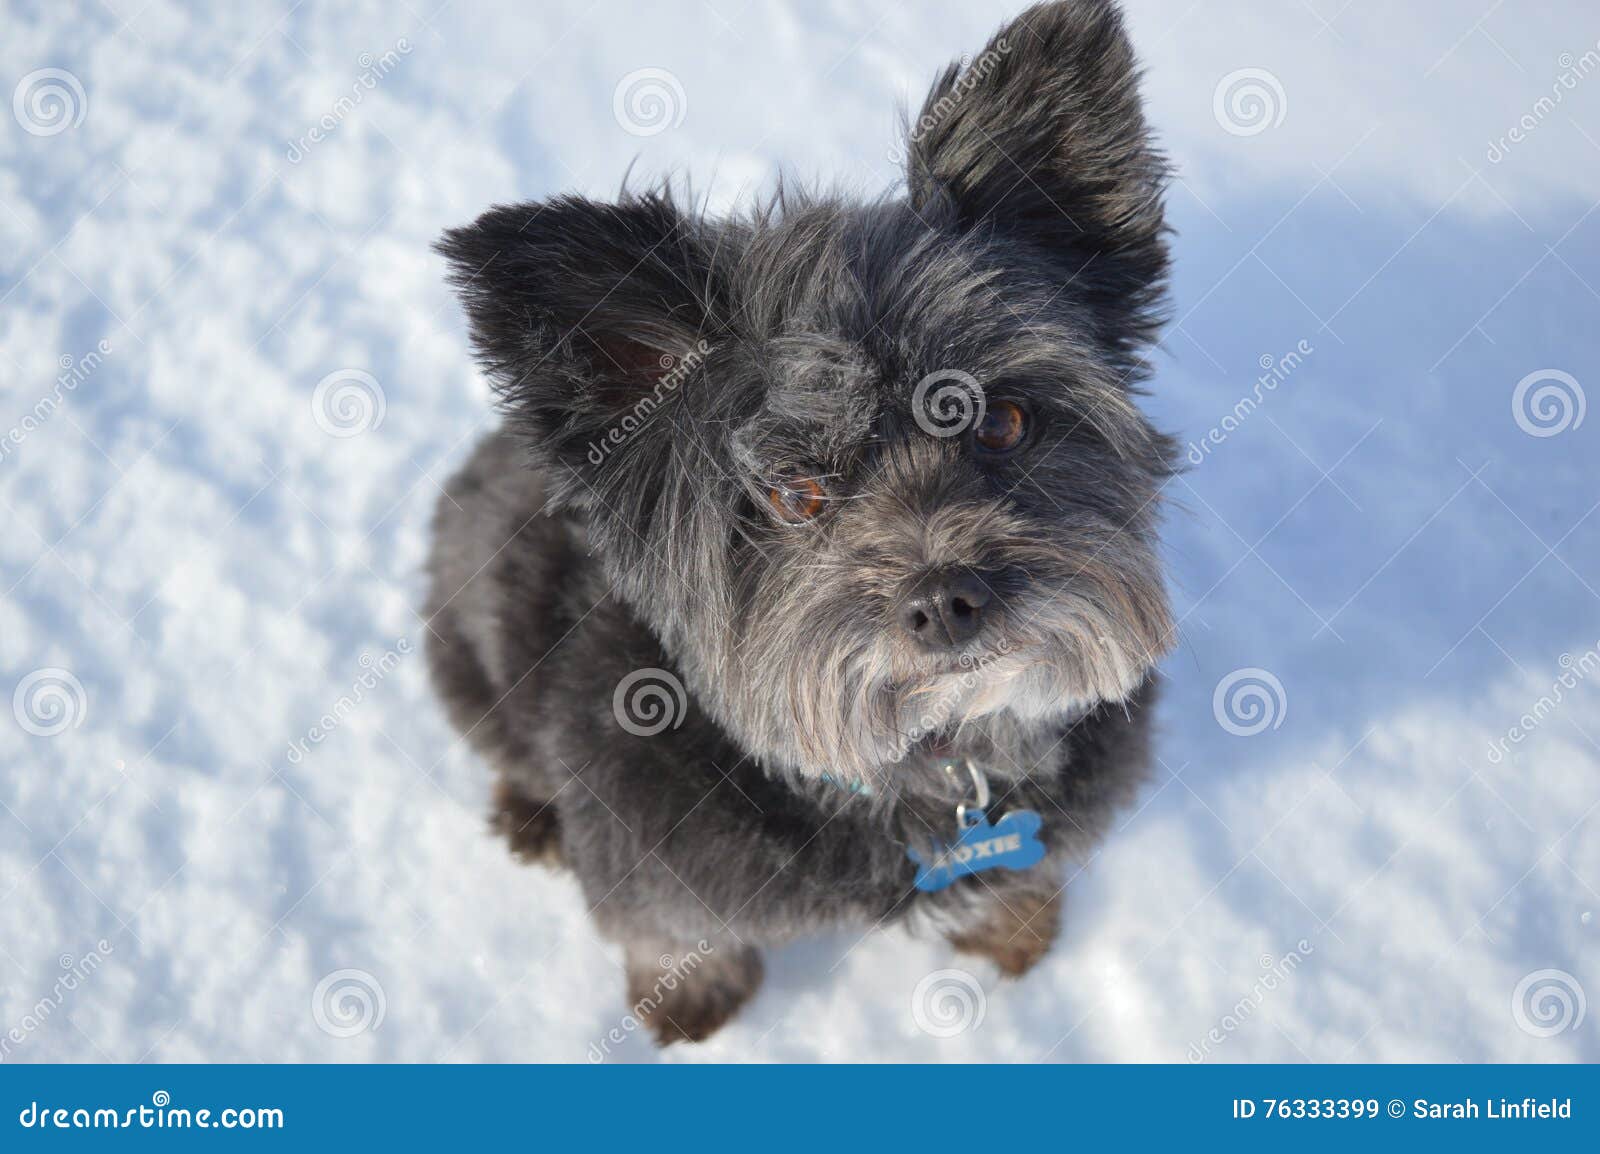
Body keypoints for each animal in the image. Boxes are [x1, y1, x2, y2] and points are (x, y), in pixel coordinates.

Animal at [425, 0, 1177, 1043]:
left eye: (1003, 421)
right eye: (792, 494)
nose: (948, 601)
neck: (925, 768)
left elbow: (1025, 876)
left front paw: (1014, 934)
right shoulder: (648, 858)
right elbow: (671, 934)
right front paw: (690, 1009)